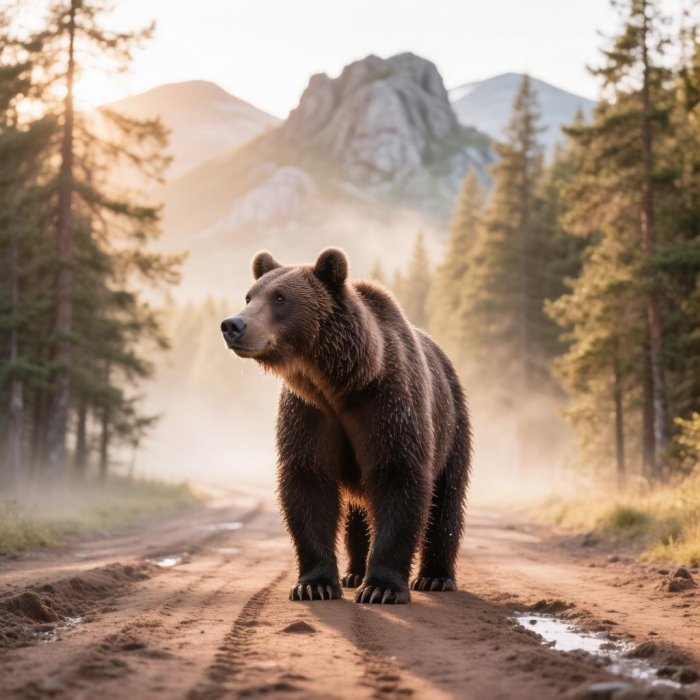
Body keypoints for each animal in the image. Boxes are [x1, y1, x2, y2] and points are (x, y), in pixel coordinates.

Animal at [221, 248, 471, 604]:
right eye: (249, 295)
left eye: (280, 297)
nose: (233, 325)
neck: (338, 383)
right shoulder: (309, 412)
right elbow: (308, 480)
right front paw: (314, 584)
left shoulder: (389, 405)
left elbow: (398, 476)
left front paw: (381, 588)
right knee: (358, 513)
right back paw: (354, 572)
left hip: (452, 425)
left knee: (446, 500)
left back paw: (435, 577)